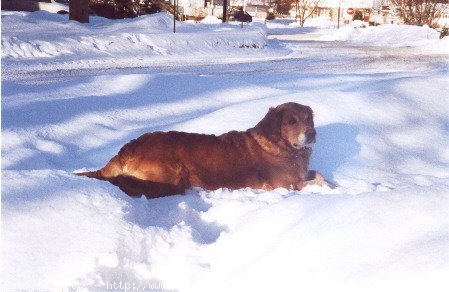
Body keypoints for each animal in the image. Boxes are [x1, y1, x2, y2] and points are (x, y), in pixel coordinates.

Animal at [76, 103, 328, 198]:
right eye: (292, 121)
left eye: (308, 118)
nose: (312, 134)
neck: (284, 148)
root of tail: (128, 147)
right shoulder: (283, 185)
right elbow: (313, 181)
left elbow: (318, 174)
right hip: (174, 174)